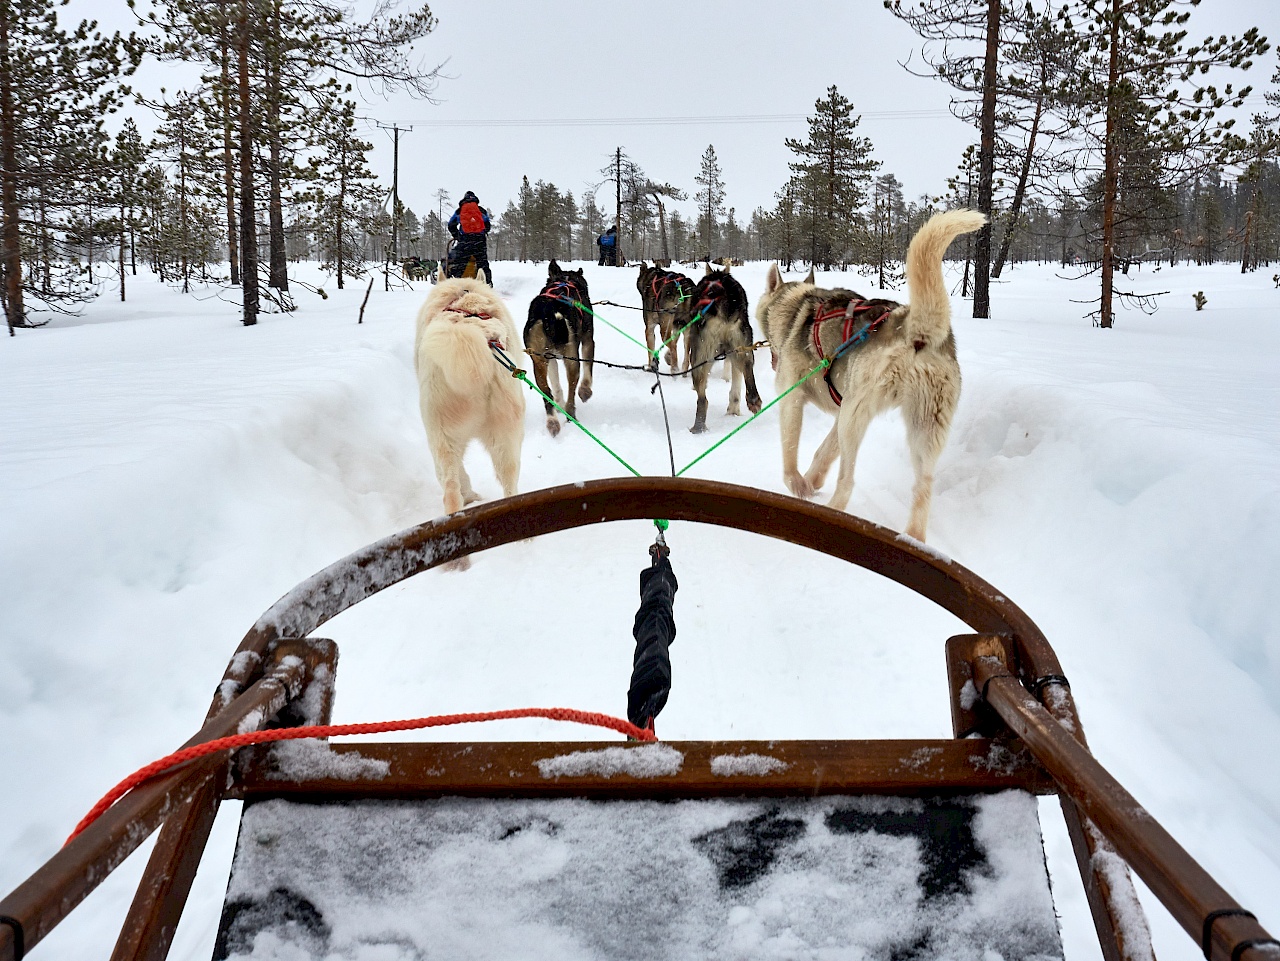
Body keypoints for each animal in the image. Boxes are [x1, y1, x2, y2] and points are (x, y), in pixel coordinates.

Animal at [752, 209, 983, 542]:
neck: (795, 306)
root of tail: (912, 326)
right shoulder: (839, 411)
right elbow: (823, 452)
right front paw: (812, 481)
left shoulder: (792, 399)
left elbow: (790, 454)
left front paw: (799, 485)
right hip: (920, 428)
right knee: (922, 488)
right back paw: (913, 537)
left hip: (855, 416)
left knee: (847, 482)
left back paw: (831, 514)